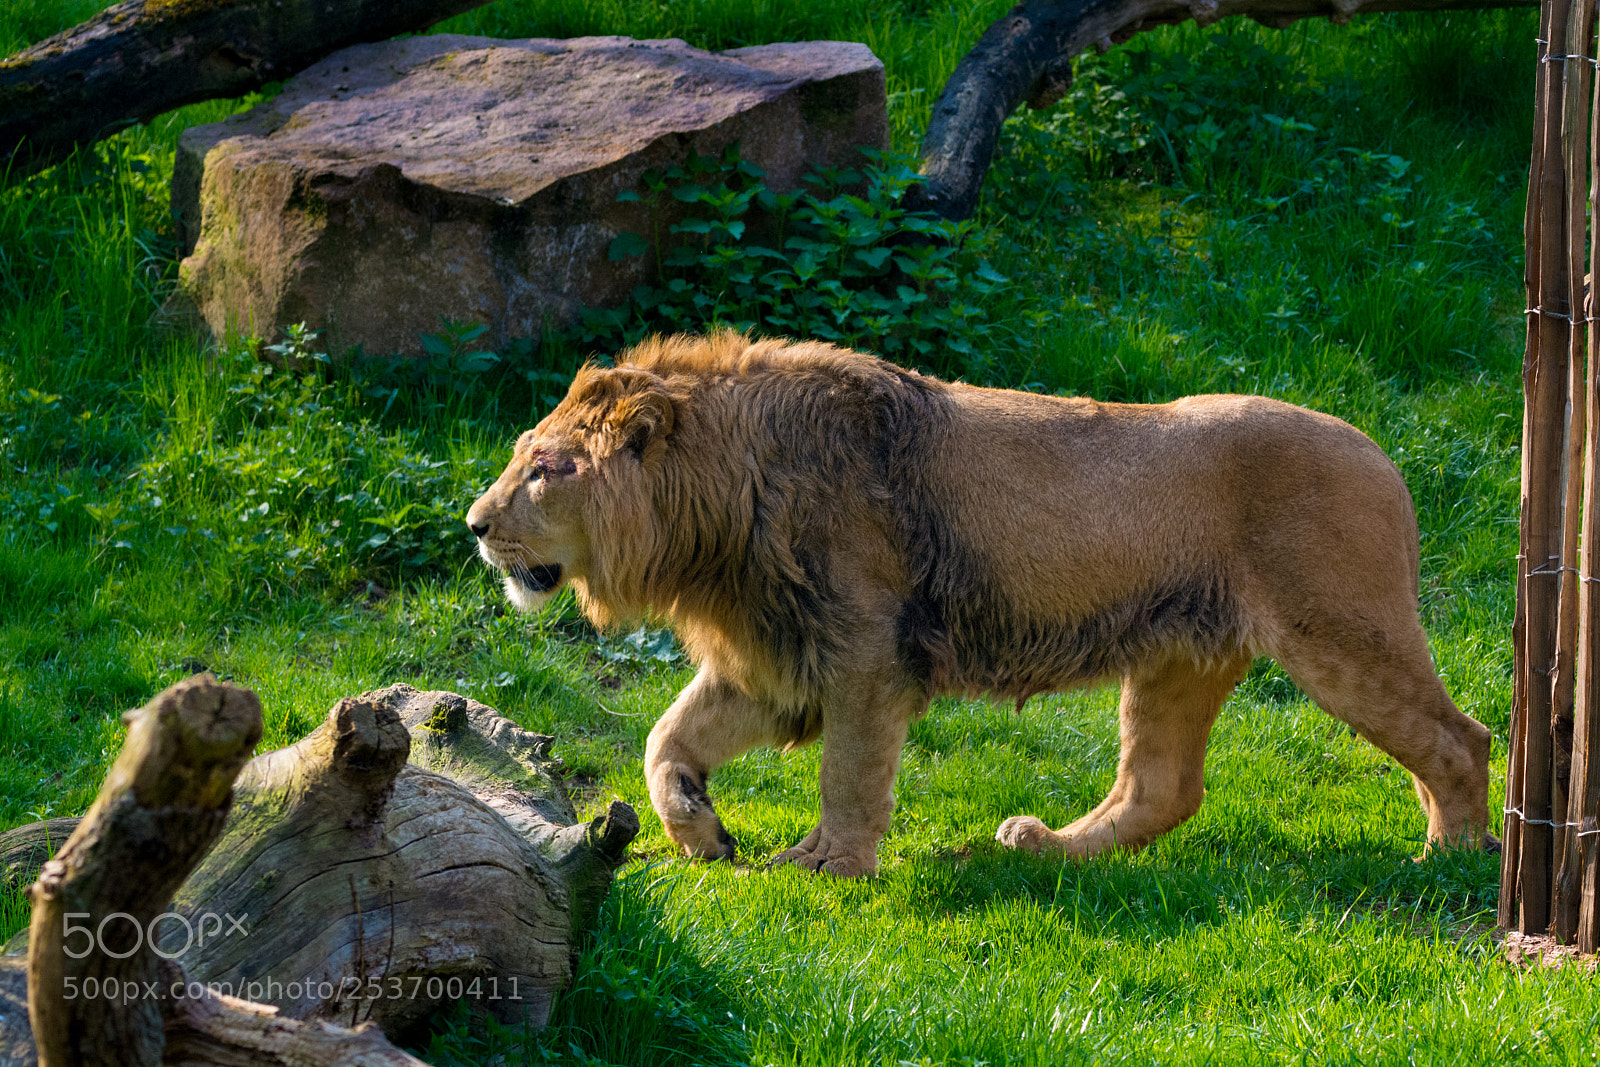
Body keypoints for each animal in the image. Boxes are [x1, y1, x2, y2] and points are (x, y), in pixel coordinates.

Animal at [465, 332, 1492, 876]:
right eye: (523, 456)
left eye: (546, 468)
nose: (474, 524)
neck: (716, 510)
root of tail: (1386, 456)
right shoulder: (777, 655)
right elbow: (663, 739)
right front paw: (702, 831)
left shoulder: (866, 654)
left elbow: (848, 774)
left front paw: (826, 868)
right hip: (1178, 653)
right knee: (1162, 786)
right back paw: (1039, 847)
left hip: (1340, 629)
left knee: (1460, 737)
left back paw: (1453, 853)